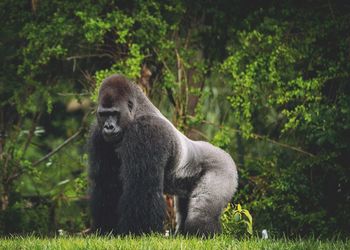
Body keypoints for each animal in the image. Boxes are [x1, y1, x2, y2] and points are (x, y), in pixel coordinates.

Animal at [89, 74, 239, 236]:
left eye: (114, 113)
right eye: (103, 114)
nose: (108, 127)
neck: (135, 113)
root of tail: (226, 154)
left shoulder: (147, 130)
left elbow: (142, 187)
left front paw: (138, 232)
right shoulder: (98, 135)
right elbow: (106, 182)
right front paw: (107, 229)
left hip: (223, 169)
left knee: (201, 216)